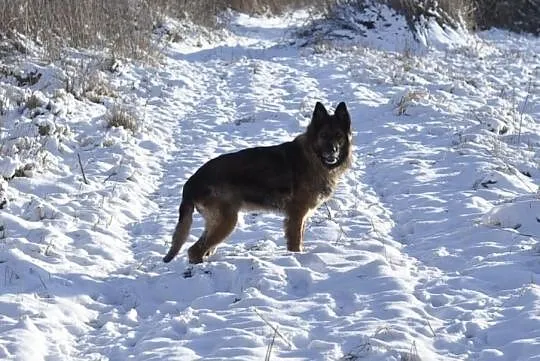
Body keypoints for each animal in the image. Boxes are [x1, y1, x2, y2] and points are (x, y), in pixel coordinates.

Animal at [162, 100, 352, 262]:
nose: (333, 151)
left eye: (338, 136)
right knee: (194, 250)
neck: (313, 157)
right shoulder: (297, 215)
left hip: (217, 222)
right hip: (227, 221)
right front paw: (296, 258)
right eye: (324, 135)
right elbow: (296, 243)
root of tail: (191, 182)